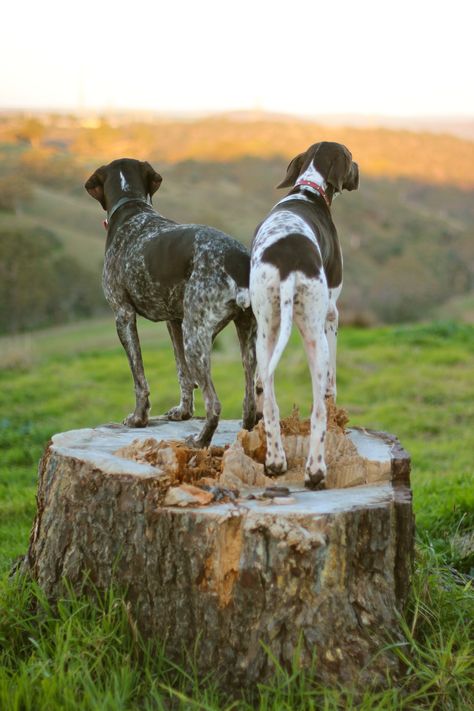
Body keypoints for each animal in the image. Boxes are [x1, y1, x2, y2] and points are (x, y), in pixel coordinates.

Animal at [85, 159, 256, 448]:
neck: (132, 207)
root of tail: (237, 261)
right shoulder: (173, 321)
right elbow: (182, 373)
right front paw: (183, 412)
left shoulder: (123, 315)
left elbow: (139, 377)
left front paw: (138, 418)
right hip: (244, 334)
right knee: (252, 397)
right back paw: (247, 432)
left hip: (195, 336)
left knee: (215, 404)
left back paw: (199, 441)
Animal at [250, 143, 358, 490]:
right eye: (350, 157)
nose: (358, 171)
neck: (308, 189)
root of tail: (288, 267)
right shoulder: (332, 315)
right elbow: (331, 388)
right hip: (315, 335)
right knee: (319, 412)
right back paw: (315, 471)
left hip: (266, 333)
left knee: (270, 403)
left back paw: (275, 462)